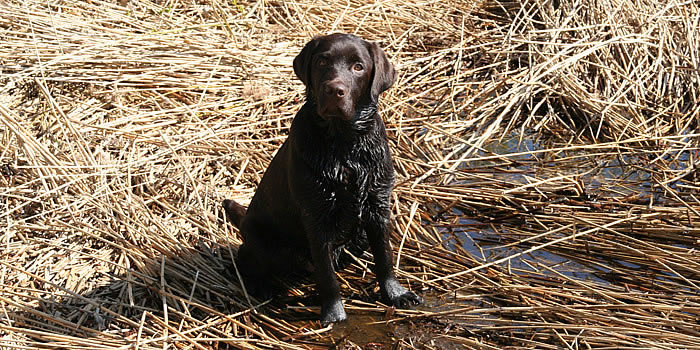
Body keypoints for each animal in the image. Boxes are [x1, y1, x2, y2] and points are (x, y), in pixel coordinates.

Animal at [224, 33, 422, 326]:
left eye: (358, 67)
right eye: (322, 61)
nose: (334, 90)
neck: (344, 146)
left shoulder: (377, 207)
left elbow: (384, 258)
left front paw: (396, 294)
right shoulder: (317, 216)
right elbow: (327, 277)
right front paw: (334, 314)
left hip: (358, 237)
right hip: (263, 239)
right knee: (245, 260)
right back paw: (261, 286)